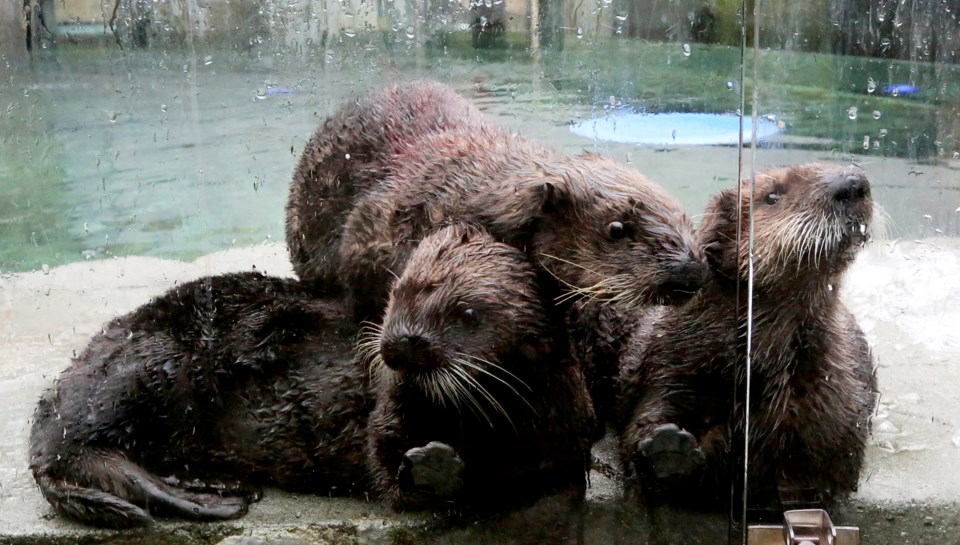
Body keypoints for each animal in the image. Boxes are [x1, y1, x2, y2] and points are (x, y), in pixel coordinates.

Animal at [360, 223, 600, 512]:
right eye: (397, 292)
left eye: (468, 314)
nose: (403, 342)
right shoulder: (391, 414)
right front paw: (432, 471)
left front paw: (438, 468)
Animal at [612, 163, 880, 510]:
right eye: (773, 195)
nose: (853, 183)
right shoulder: (672, 361)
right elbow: (645, 423)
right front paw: (669, 447)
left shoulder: (834, 390)